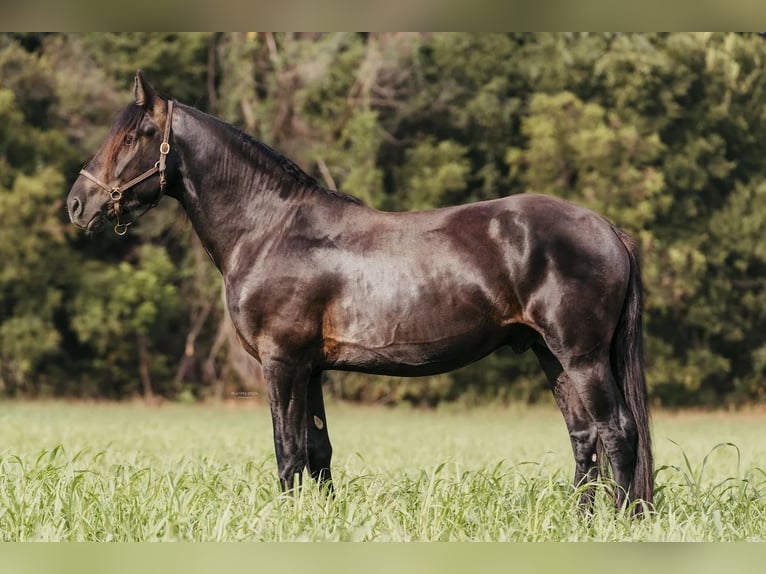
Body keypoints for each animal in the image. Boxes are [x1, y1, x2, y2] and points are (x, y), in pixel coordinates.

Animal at [67, 71, 653, 512]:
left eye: (133, 136)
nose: (77, 204)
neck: (271, 228)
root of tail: (608, 229)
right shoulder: (311, 368)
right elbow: (318, 450)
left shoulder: (281, 363)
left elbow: (288, 451)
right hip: (550, 355)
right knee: (584, 437)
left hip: (580, 356)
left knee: (618, 431)